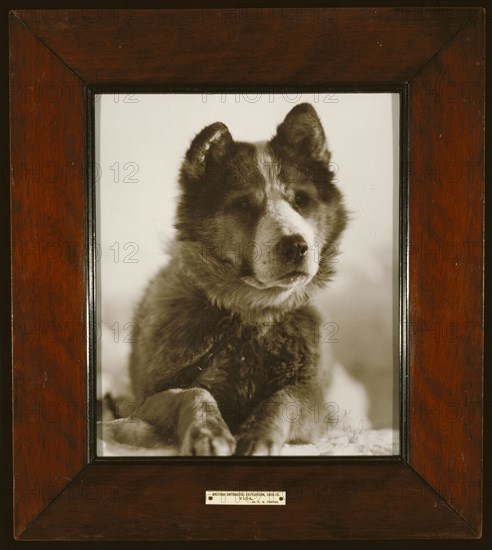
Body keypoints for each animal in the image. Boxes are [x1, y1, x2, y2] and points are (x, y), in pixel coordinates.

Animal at [129, 103, 348, 458]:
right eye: (244, 204)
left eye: (300, 200)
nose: (296, 246)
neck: (253, 318)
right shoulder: (148, 400)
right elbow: (194, 394)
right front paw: (207, 432)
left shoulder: (315, 398)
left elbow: (285, 398)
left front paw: (258, 435)